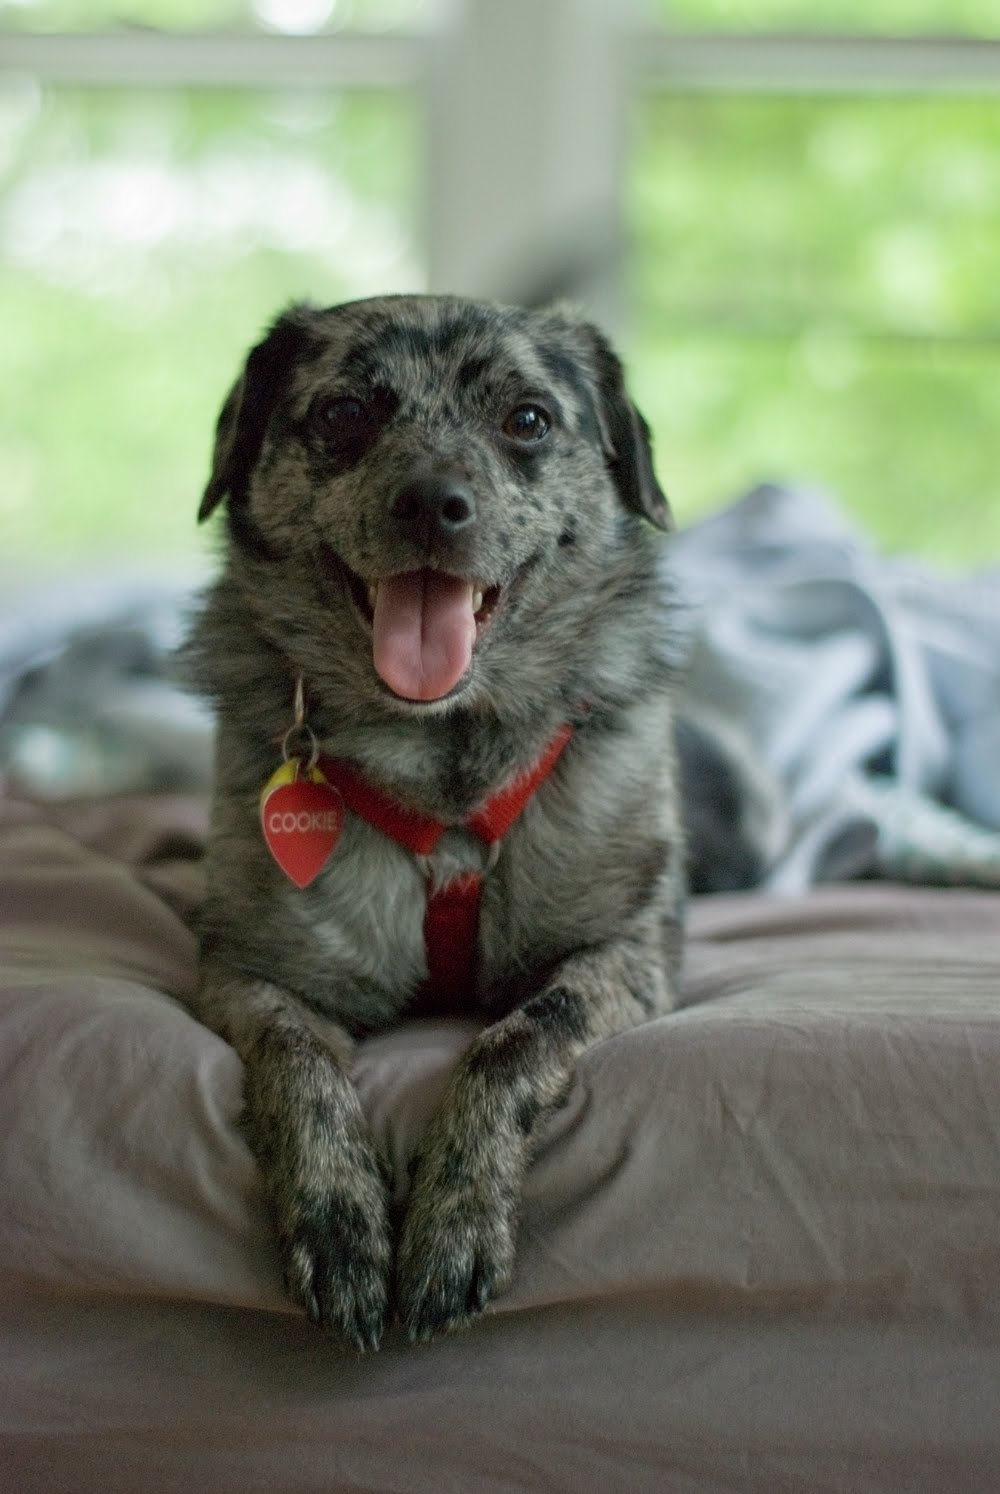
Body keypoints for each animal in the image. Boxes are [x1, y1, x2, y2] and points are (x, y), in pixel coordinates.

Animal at [185, 294, 687, 1356]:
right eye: (343, 413)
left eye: (528, 419)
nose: (431, 503)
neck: (444, 763)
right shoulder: (245, 970)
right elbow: (297, 1059)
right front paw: (339, 1224)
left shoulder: (625, 953)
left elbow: (514, 1041)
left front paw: (453, 1225)